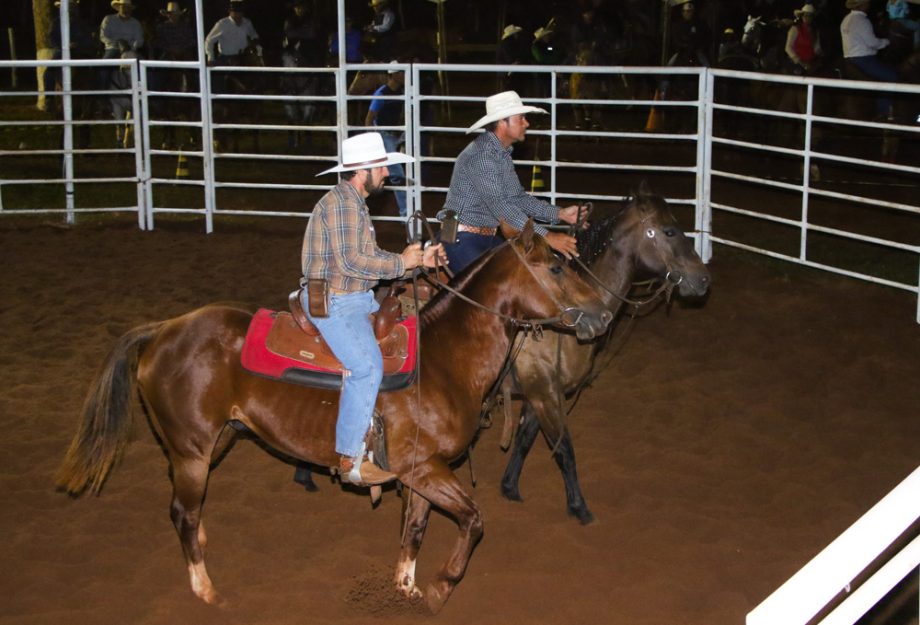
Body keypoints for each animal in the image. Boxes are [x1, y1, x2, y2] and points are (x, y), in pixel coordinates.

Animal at [52, 222, 612, 612]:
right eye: (557, 267)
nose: (605, 314)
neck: (445, 356)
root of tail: (164, 329)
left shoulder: (422, 471)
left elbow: (415, 529)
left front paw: (406, 590)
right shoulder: (423, 469)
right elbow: (472, 520)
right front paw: (439, 588)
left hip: (218, 439)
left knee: (188, 511)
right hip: (190, 448)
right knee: (182, 514)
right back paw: (207, 590)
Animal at [504, 183, 712, 524]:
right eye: (669, 230)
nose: (704, 279)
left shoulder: (540, 393)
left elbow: (524, 440)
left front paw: (509, 487)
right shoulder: (545, 395)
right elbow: (565, 451)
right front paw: (579, 507)